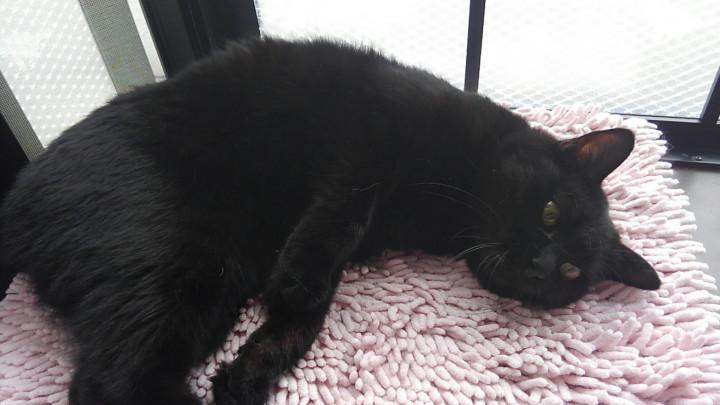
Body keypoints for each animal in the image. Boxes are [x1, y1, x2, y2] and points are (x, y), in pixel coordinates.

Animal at [0, 38, 660, 405]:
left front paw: (250, 373)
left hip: (210, 283)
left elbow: (309, 310)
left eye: (571, 273)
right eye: (549, 211)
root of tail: (20, 195)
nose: (540, 265)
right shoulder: (368, 137)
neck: (450, 204)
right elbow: (340, 211)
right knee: (108, 384)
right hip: (172, 254)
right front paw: (295, 285)